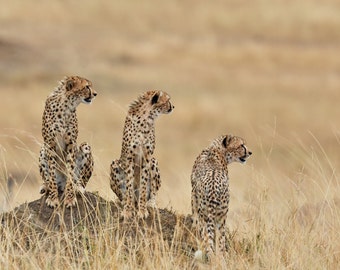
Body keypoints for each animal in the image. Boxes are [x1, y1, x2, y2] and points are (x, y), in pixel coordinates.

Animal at [40, 77, 98, 208]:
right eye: (87, 86)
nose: (95, 94)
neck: (66, 105)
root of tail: (61, 182)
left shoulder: (71, 144)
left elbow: (71, 172)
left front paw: (70, 198)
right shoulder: (50, 144)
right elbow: (51, 174)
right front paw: (53, 199)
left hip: (85, 146)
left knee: (80, 180)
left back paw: (78, 188)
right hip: (42, 150)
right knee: (48, 179)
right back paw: (45, 187)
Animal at [110, 90, 174, 219]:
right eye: (168, 100)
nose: (173, 106)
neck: (146, 119)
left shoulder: (147, 157)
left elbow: (144, 185)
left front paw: (143, 210)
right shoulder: (129, 158)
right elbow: (129, 186)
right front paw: (127, 210)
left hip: (154, 162)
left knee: (152, 193)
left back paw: (150, 203)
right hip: (114, 163)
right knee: (124, 195)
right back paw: (126, 202)